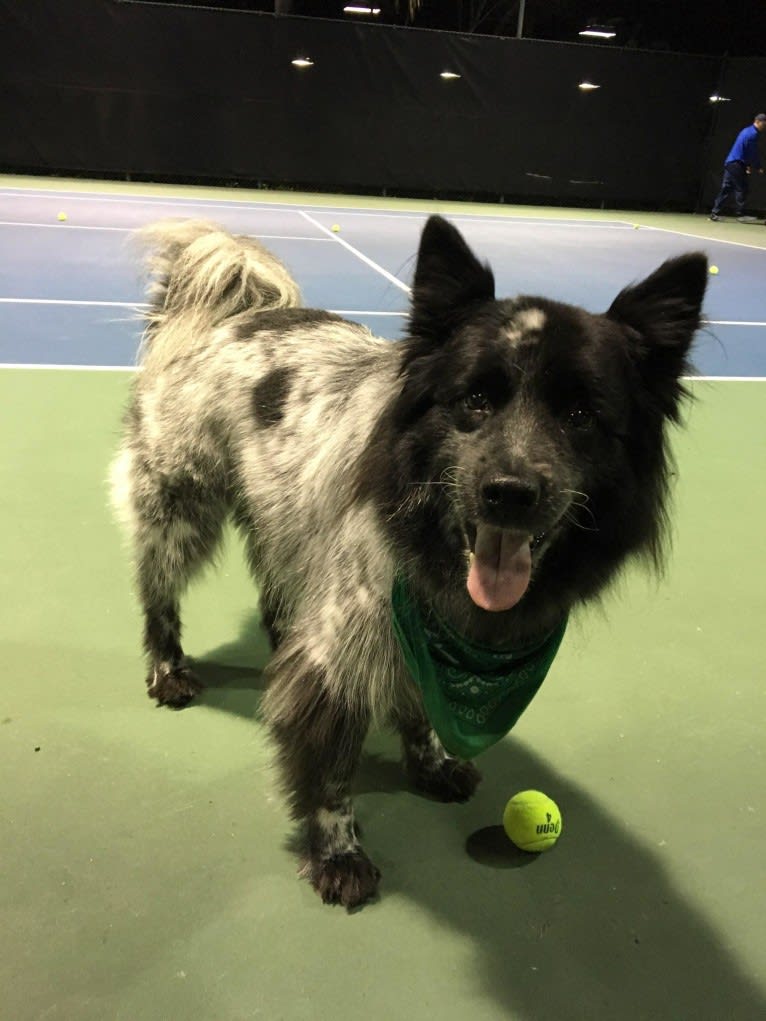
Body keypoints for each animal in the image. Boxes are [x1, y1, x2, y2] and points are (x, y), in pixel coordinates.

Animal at [110, 215, 710, 910]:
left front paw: (429, 765)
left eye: (580, 414)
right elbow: (331, 767)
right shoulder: (344, 647)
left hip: (282, 522)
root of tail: (233, 315)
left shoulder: (418, 636)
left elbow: (419, 706)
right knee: (158, 596)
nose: (509, 492)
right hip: (179, 507)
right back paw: (168, 671)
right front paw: (338, 855)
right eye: (475, 399)